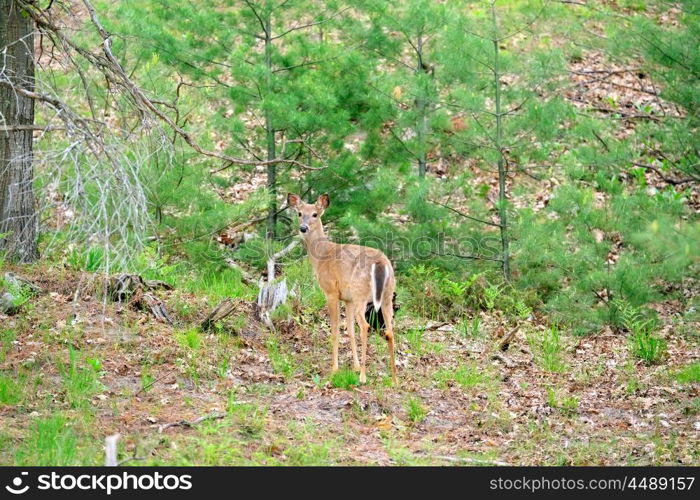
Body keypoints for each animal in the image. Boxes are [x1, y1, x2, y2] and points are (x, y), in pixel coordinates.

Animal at [288, 193, 396, 384]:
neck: (322, 256)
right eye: (300, 213)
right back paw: (394, 380)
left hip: (361, 293)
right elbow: (350, 331)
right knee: (389, 331)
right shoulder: (348, 298)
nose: (303, 228)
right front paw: (354, 366)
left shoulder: (331, 291)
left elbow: (335, 330)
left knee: (365, 326)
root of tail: (380, 263)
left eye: (315, 214)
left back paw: (363, 377)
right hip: (387, 294)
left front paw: (335, 369)